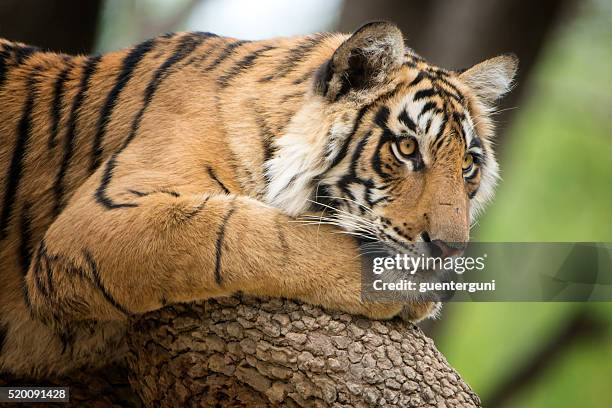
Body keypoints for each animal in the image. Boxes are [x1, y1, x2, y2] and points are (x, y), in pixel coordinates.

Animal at [0, 22, 516, 378]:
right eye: (407, 148)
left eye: (467, 164)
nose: (450, 250)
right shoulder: (97, 221)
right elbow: (242, 233)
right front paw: (407, 285)